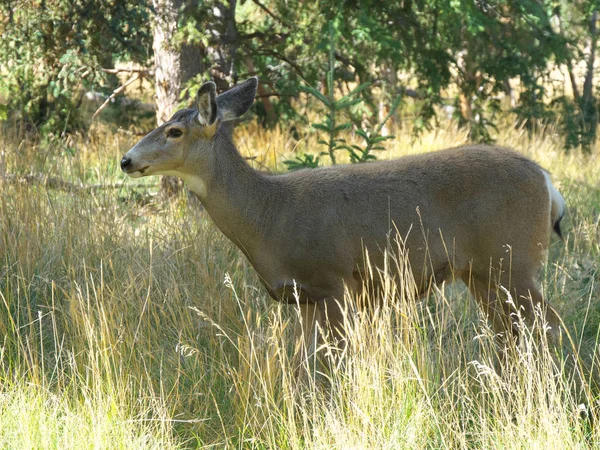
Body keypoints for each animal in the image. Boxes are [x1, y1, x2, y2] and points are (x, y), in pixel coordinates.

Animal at [120, 77, 564, 364]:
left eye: (174, 131)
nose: (126, 160)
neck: (268, 216)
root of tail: (547, 181)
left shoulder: (334, 283)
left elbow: (329, 364)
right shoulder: (304, 298)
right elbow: (303, 365)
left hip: (513, 261)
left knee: (549, 327)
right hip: (484, 273)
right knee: (513, 334)